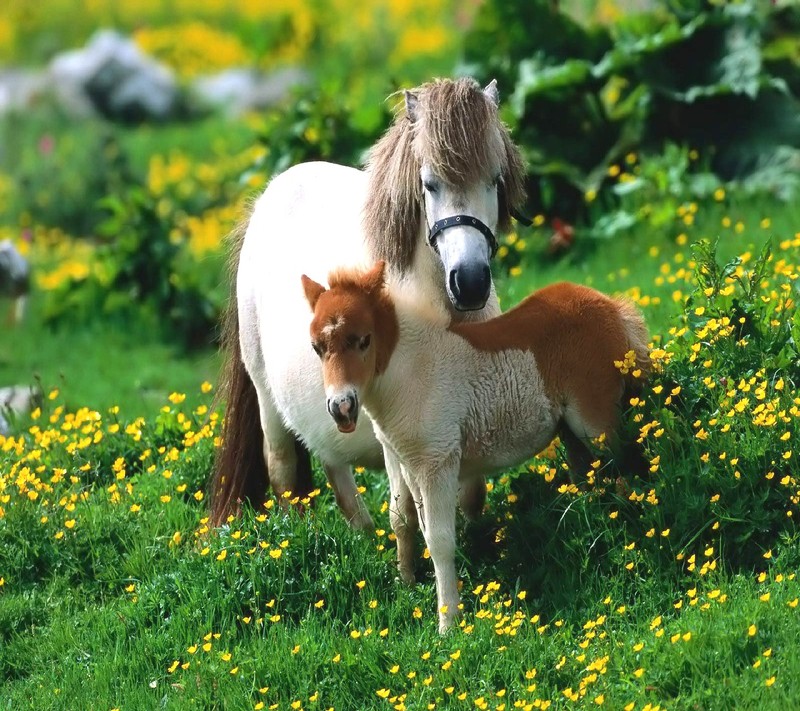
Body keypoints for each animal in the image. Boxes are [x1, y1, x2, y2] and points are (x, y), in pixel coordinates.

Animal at [209, 80, 528, 532]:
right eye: (429, 184)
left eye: (495, 180)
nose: (469, 282)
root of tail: (267, 198)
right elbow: (406, 510)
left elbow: (471, 496)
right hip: (267, 399)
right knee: (283, 468)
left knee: (332, 463)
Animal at [302, 264, 648, 632]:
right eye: (316, 347)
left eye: (364, 340)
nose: (341, 407)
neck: (409, 372)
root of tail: (611, 306)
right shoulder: (410, 465)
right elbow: (412, 524)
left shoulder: (438, 462)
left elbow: (440, 541)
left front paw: (448, 623)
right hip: (570, 431)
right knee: (589, 477)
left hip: (595, 423)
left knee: (626, 468)